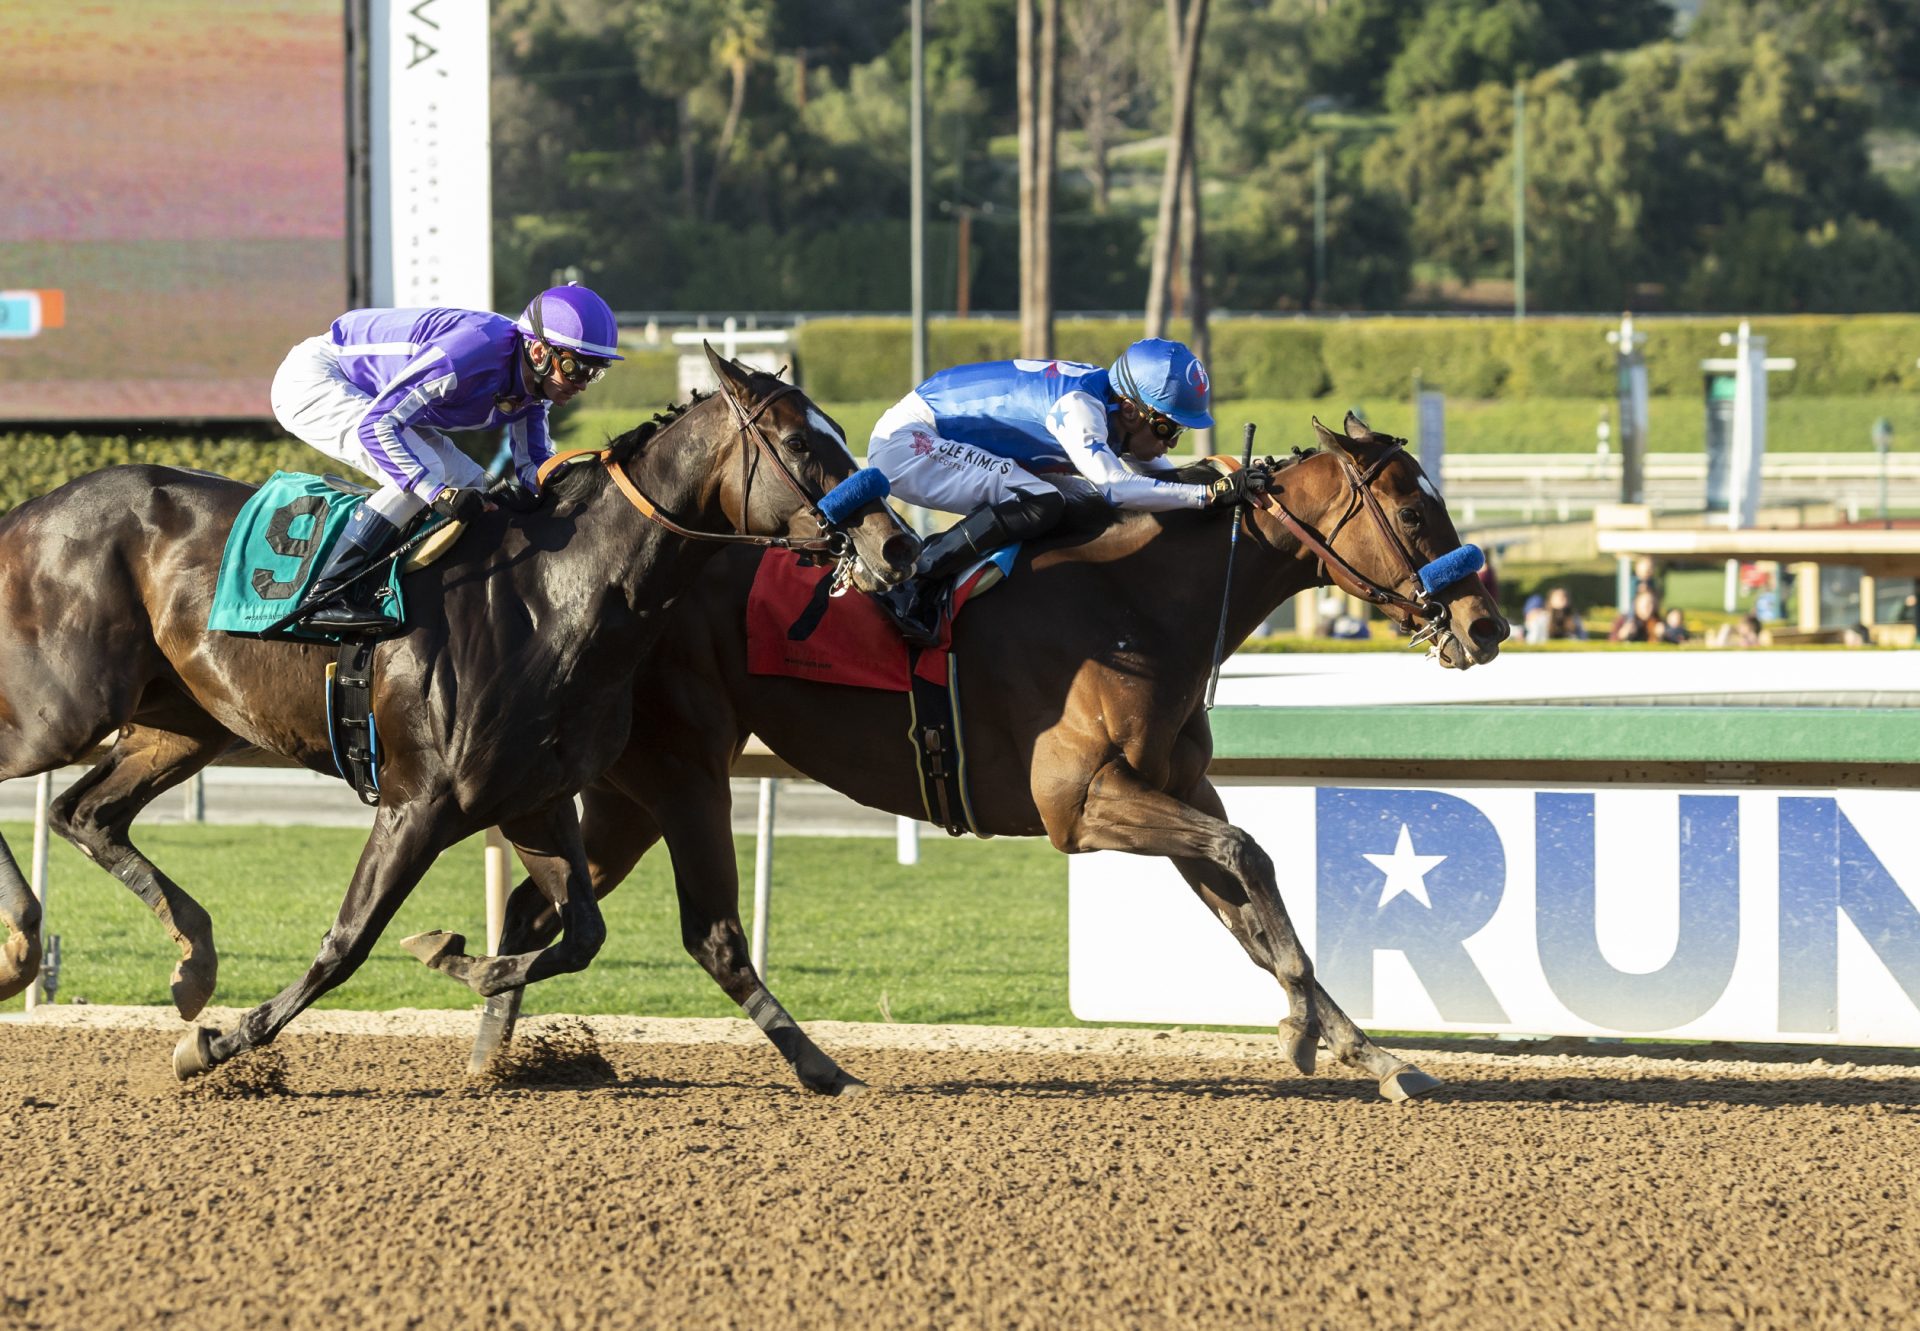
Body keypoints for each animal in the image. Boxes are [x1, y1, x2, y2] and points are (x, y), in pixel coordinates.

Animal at [0, 347, 917, 1075]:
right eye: (801, 443)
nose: (896, 544)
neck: (555, 596)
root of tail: (29, 508)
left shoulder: (534, 798)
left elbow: (577, 935)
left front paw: (452, 955)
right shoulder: (420, 802)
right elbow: (347, 945)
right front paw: (219, 1046)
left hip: (183, 720)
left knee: (85, 812)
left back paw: (190, 956)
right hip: (64, 706)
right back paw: (27, 948)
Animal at [464, 414, 1512, 1098]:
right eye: (1414, 516)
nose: (1487, 624)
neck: (1139, 604)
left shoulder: (1175, 790)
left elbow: (1249, 908)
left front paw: (1368, 1050)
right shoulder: (1081, 804)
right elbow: (1249, 857)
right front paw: (1303, 1030)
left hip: (633, 790)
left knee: (535, 902)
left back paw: (492, 1055)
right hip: (682, 770)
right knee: (693, 928)